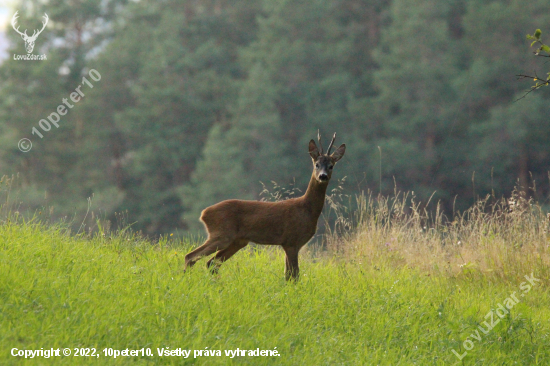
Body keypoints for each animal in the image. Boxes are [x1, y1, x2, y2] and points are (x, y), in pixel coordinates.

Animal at [187, 132, 350, 280]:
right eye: (316, 164)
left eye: (331, 166)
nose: (322, 176)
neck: (307, 210)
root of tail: (203, 213)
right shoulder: (291, 240)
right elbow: (293, 275)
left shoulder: (292, 244)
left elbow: (289, 275)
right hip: (222, 234)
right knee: (191, 256)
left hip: (238, 241)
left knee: (211, 263)